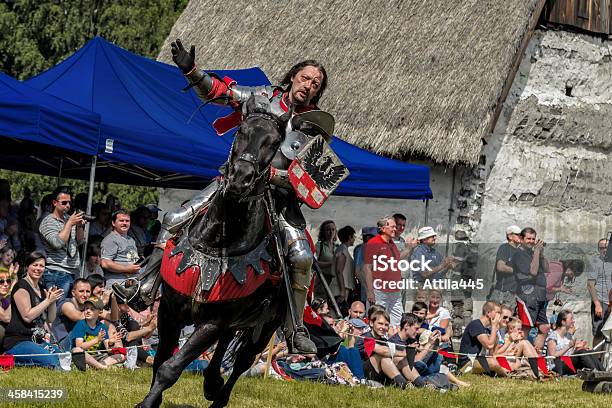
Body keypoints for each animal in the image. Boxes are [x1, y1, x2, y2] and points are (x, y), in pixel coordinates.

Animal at [137, 96, 294, 408]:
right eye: (241, 131)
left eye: (273, 143)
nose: (240, 178)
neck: (218, 242)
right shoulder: (169, 311)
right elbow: (160, 359)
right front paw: (150, 401)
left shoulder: (212, 322)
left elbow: (170, 368)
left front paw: (148, 403)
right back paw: (211, 382)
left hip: (264, 328)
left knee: (242, 361)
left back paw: (218, 395)